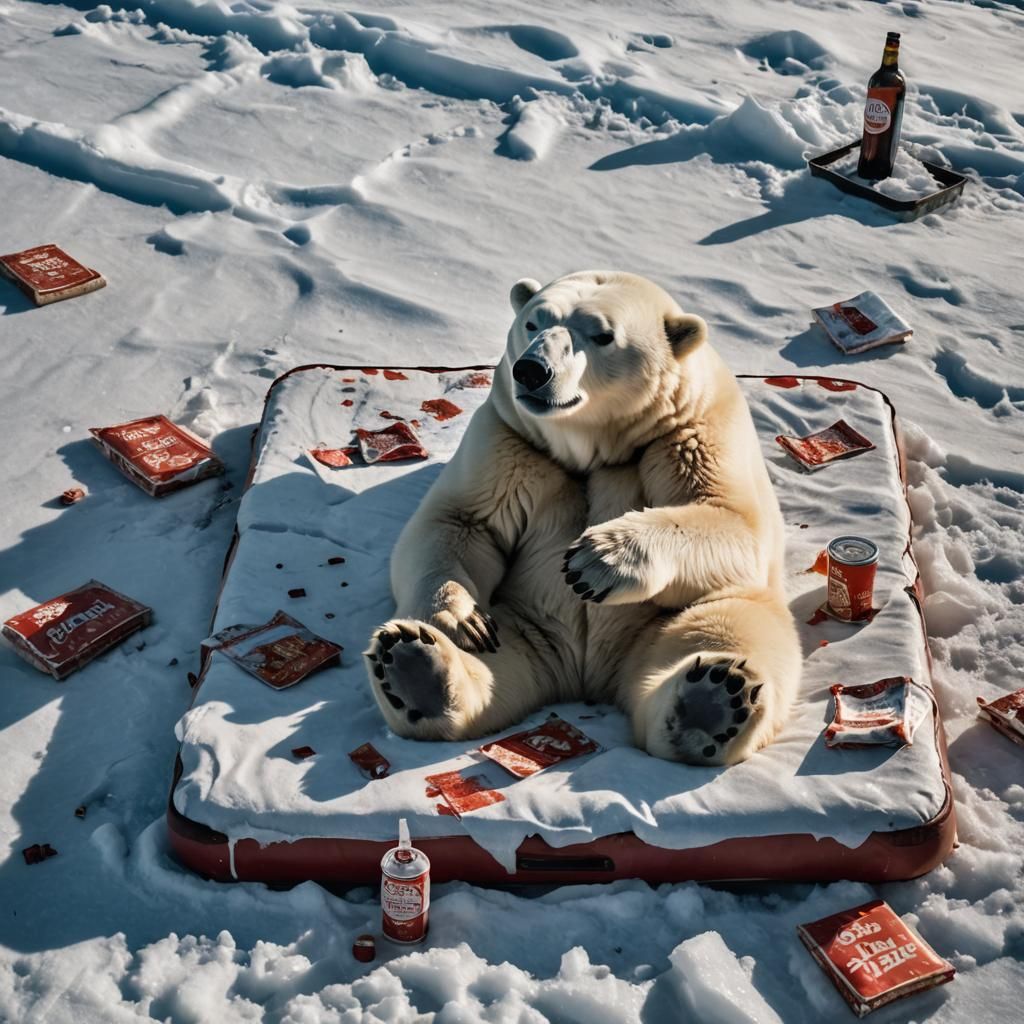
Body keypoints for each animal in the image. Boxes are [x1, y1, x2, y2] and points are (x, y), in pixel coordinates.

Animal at [363, 270, 801, 766]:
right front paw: (462, 619)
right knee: (496, 657)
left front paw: (596, 560)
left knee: (724, 624)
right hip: (524, 619)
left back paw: (714, 700)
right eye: (532, 322)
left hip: (668, 621)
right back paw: (414, 666)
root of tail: (585, 674)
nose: (531, 371)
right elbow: (459, 522)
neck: (596, 449)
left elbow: (734, 522)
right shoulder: (509, 440)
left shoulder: (692, 432)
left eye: (602, 335)